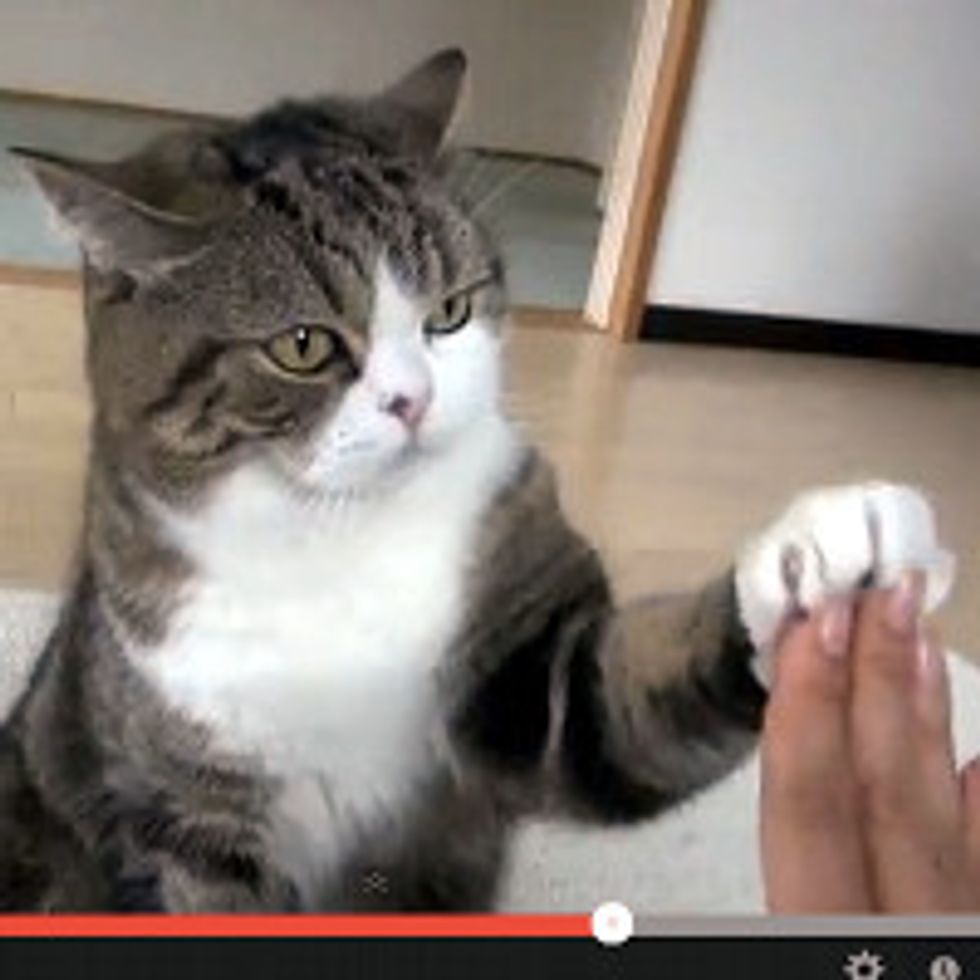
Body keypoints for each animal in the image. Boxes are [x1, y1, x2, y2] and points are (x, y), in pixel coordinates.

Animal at [0, 51, 952, 912]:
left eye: (449, 312)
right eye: (303, 345)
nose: (413, 400)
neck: (339, 534)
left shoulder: (520, 666)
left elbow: (611, 701)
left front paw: (828, 545)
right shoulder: (186, 804)